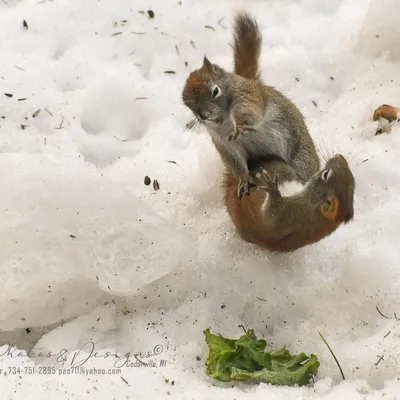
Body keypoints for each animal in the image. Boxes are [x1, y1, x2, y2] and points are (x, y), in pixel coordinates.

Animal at [183, 11, 320, 199]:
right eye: (187, 105)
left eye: (215, 91)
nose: (203, 116)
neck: (225, 121)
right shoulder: (225, 144)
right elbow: (236, 162)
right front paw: (243, 179)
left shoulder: (248, 96)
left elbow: (249, 113)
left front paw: (241, 126)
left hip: (302, 158)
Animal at [225, 154, 356, 252]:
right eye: (353, 182)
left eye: (326, 174)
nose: (339, 156)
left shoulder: (290, 215)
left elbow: (271, 217)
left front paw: (272, 188)